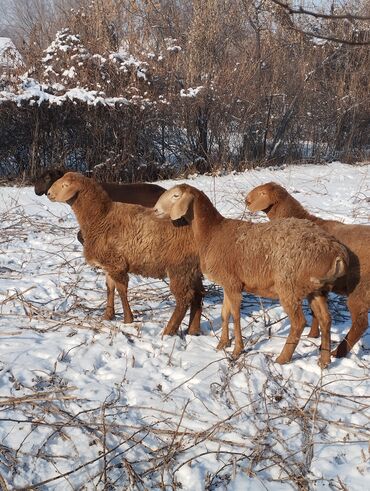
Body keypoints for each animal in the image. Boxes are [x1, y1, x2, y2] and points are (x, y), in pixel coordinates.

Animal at [47, 171, 205, 336]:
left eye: (65, 185)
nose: (49, 193)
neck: (101, 218)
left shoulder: (117, 264)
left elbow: (121, 290)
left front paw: (128, 319)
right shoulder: (108, 264)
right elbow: (110, 288)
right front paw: (108, 315)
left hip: (179, 267)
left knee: (184, 298)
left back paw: (169, 331)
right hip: (192, 269)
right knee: (198, 294)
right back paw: (193, 330)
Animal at [154, 183, 350, 368]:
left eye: (176, 196)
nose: (155, 210)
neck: (211, 233)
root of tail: (336, 254)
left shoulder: (232, 284)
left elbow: (235, 316)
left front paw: (237, 350)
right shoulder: (228, 284)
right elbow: (225, 314)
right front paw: (222, 344)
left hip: (289, 286)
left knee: (299, 323)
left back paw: (282, 359)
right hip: (316, 289)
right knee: (326, 319)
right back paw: (324, 361)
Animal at [246, 183, 370, 360]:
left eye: (262, 193)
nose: (246, 201)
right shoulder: (319, 287)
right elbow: (316, 313)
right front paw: (313, 335)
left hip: (360, 289)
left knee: (361, 324)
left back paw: (337, 352)